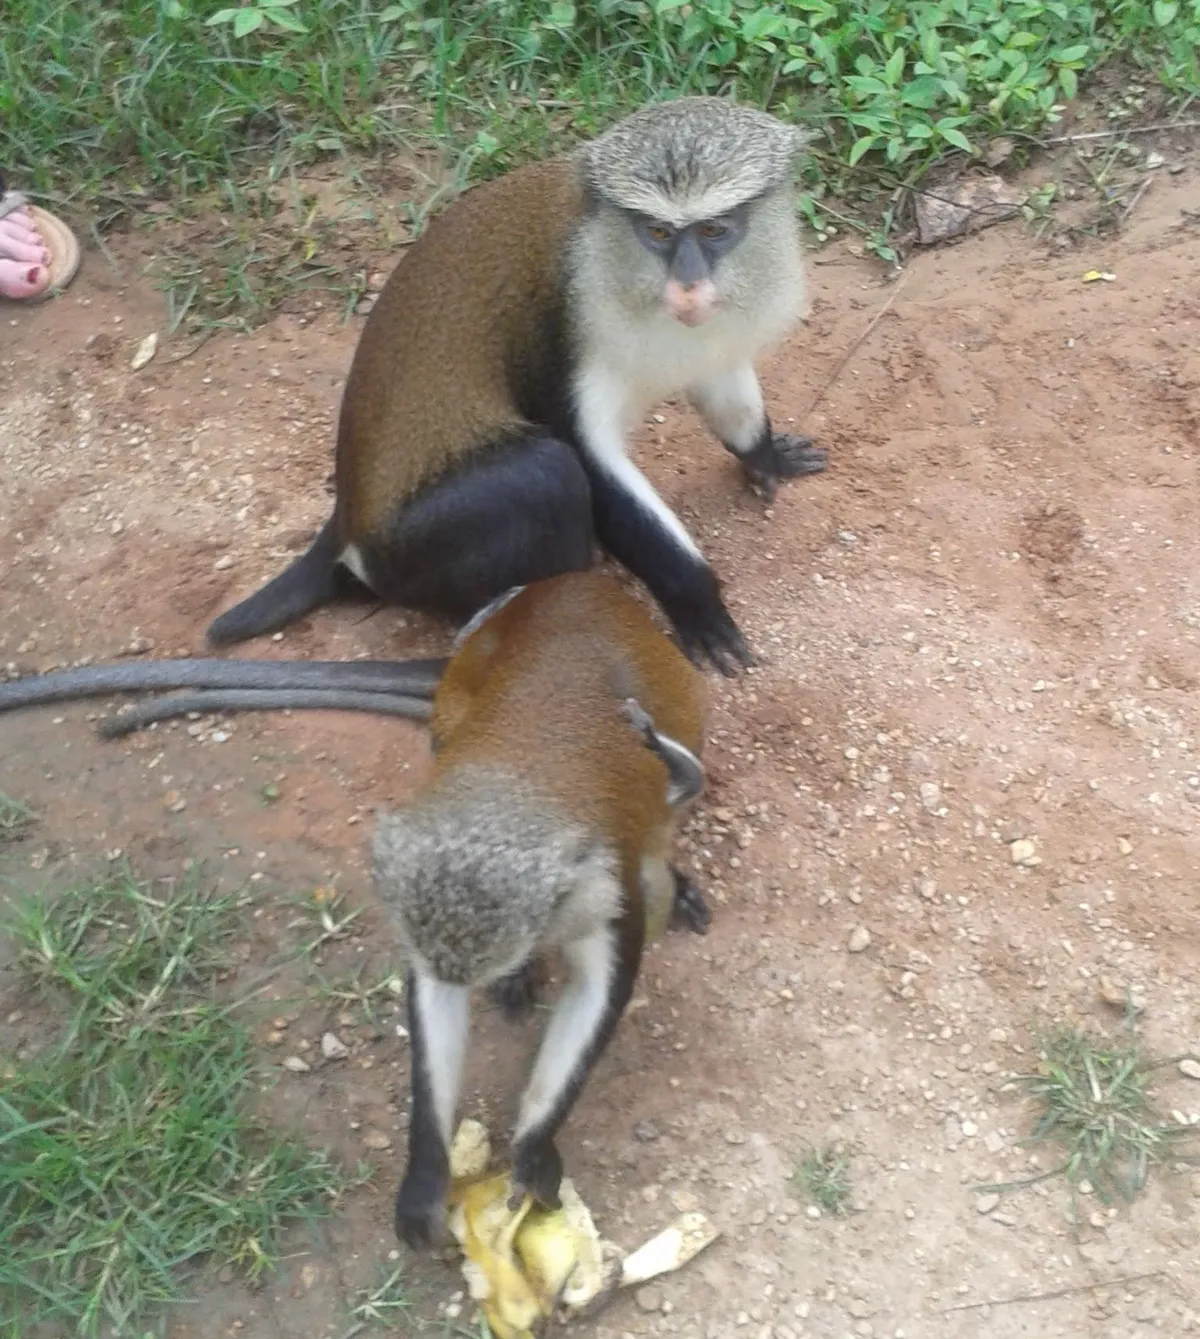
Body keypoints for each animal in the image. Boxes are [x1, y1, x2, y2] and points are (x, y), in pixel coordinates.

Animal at [205, 95, 825, 677]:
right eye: (658, 232)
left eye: (715, 229)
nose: (689, 286)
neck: (605, 247)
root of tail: (348, 528)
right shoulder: (561, 325)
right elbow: (586, 458)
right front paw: (697, 603)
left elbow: (724, 390)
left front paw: (767, 457)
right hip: (412, 549)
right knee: (547, 474)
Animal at [371, 569, 711, 1249]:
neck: (517, 780)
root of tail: (577, 583)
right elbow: (434, 998)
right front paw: (425, 1174)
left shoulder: (605, 889)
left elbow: (598, 993)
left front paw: (534, 1145)